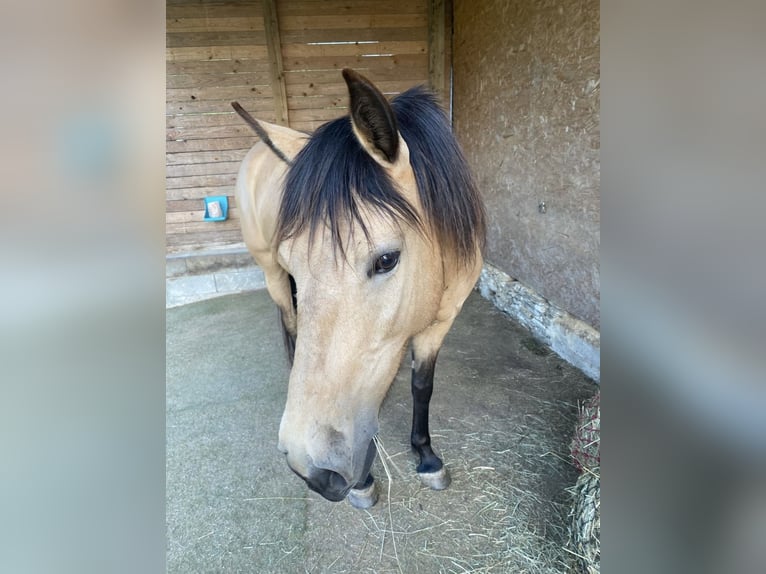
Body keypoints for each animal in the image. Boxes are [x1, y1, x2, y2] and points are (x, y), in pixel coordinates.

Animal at [232, 68, 486, 508]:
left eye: (386, 260)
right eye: (292, 259)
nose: (312, 471)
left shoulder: (441, 322)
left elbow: (422, 385)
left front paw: (426, 456)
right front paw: (366, 479)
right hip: (270, 272)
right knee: (292, 328)